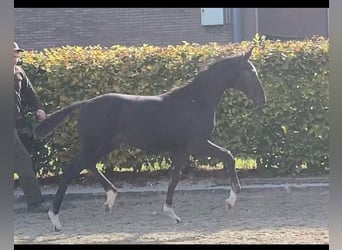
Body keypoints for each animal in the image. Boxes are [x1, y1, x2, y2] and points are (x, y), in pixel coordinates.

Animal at [34, 47, 266, 230]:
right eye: (251, 73)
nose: (262, 99)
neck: (195, 100)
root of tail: (83, 104)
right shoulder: (196, 143)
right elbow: (228, 156)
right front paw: (231, 200)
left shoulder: (181, 149)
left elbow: (175, 176)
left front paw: (171, 213)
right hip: (95, 144)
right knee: (72, 169)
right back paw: (55, 218)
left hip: (105, 145)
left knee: (87, 165)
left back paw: (110, 198)